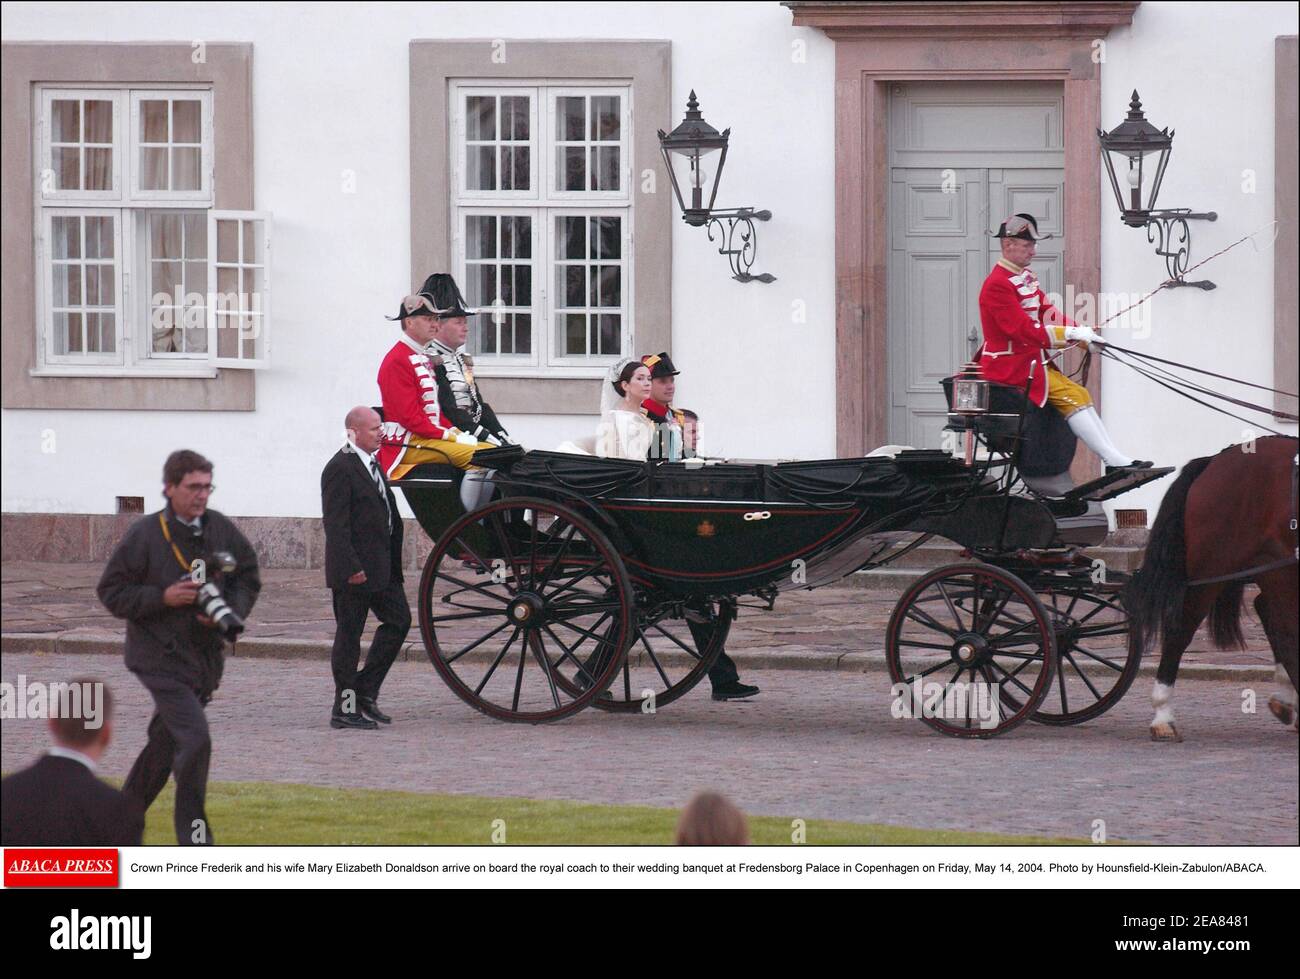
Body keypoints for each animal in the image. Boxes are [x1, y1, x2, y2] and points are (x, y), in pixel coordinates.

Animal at [1123, 434, 1294, 738]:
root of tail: (1215, 459)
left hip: (1272, 564)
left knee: (1274, 616)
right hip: (1214, 566)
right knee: (1181, 628)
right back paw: (1163, 714)